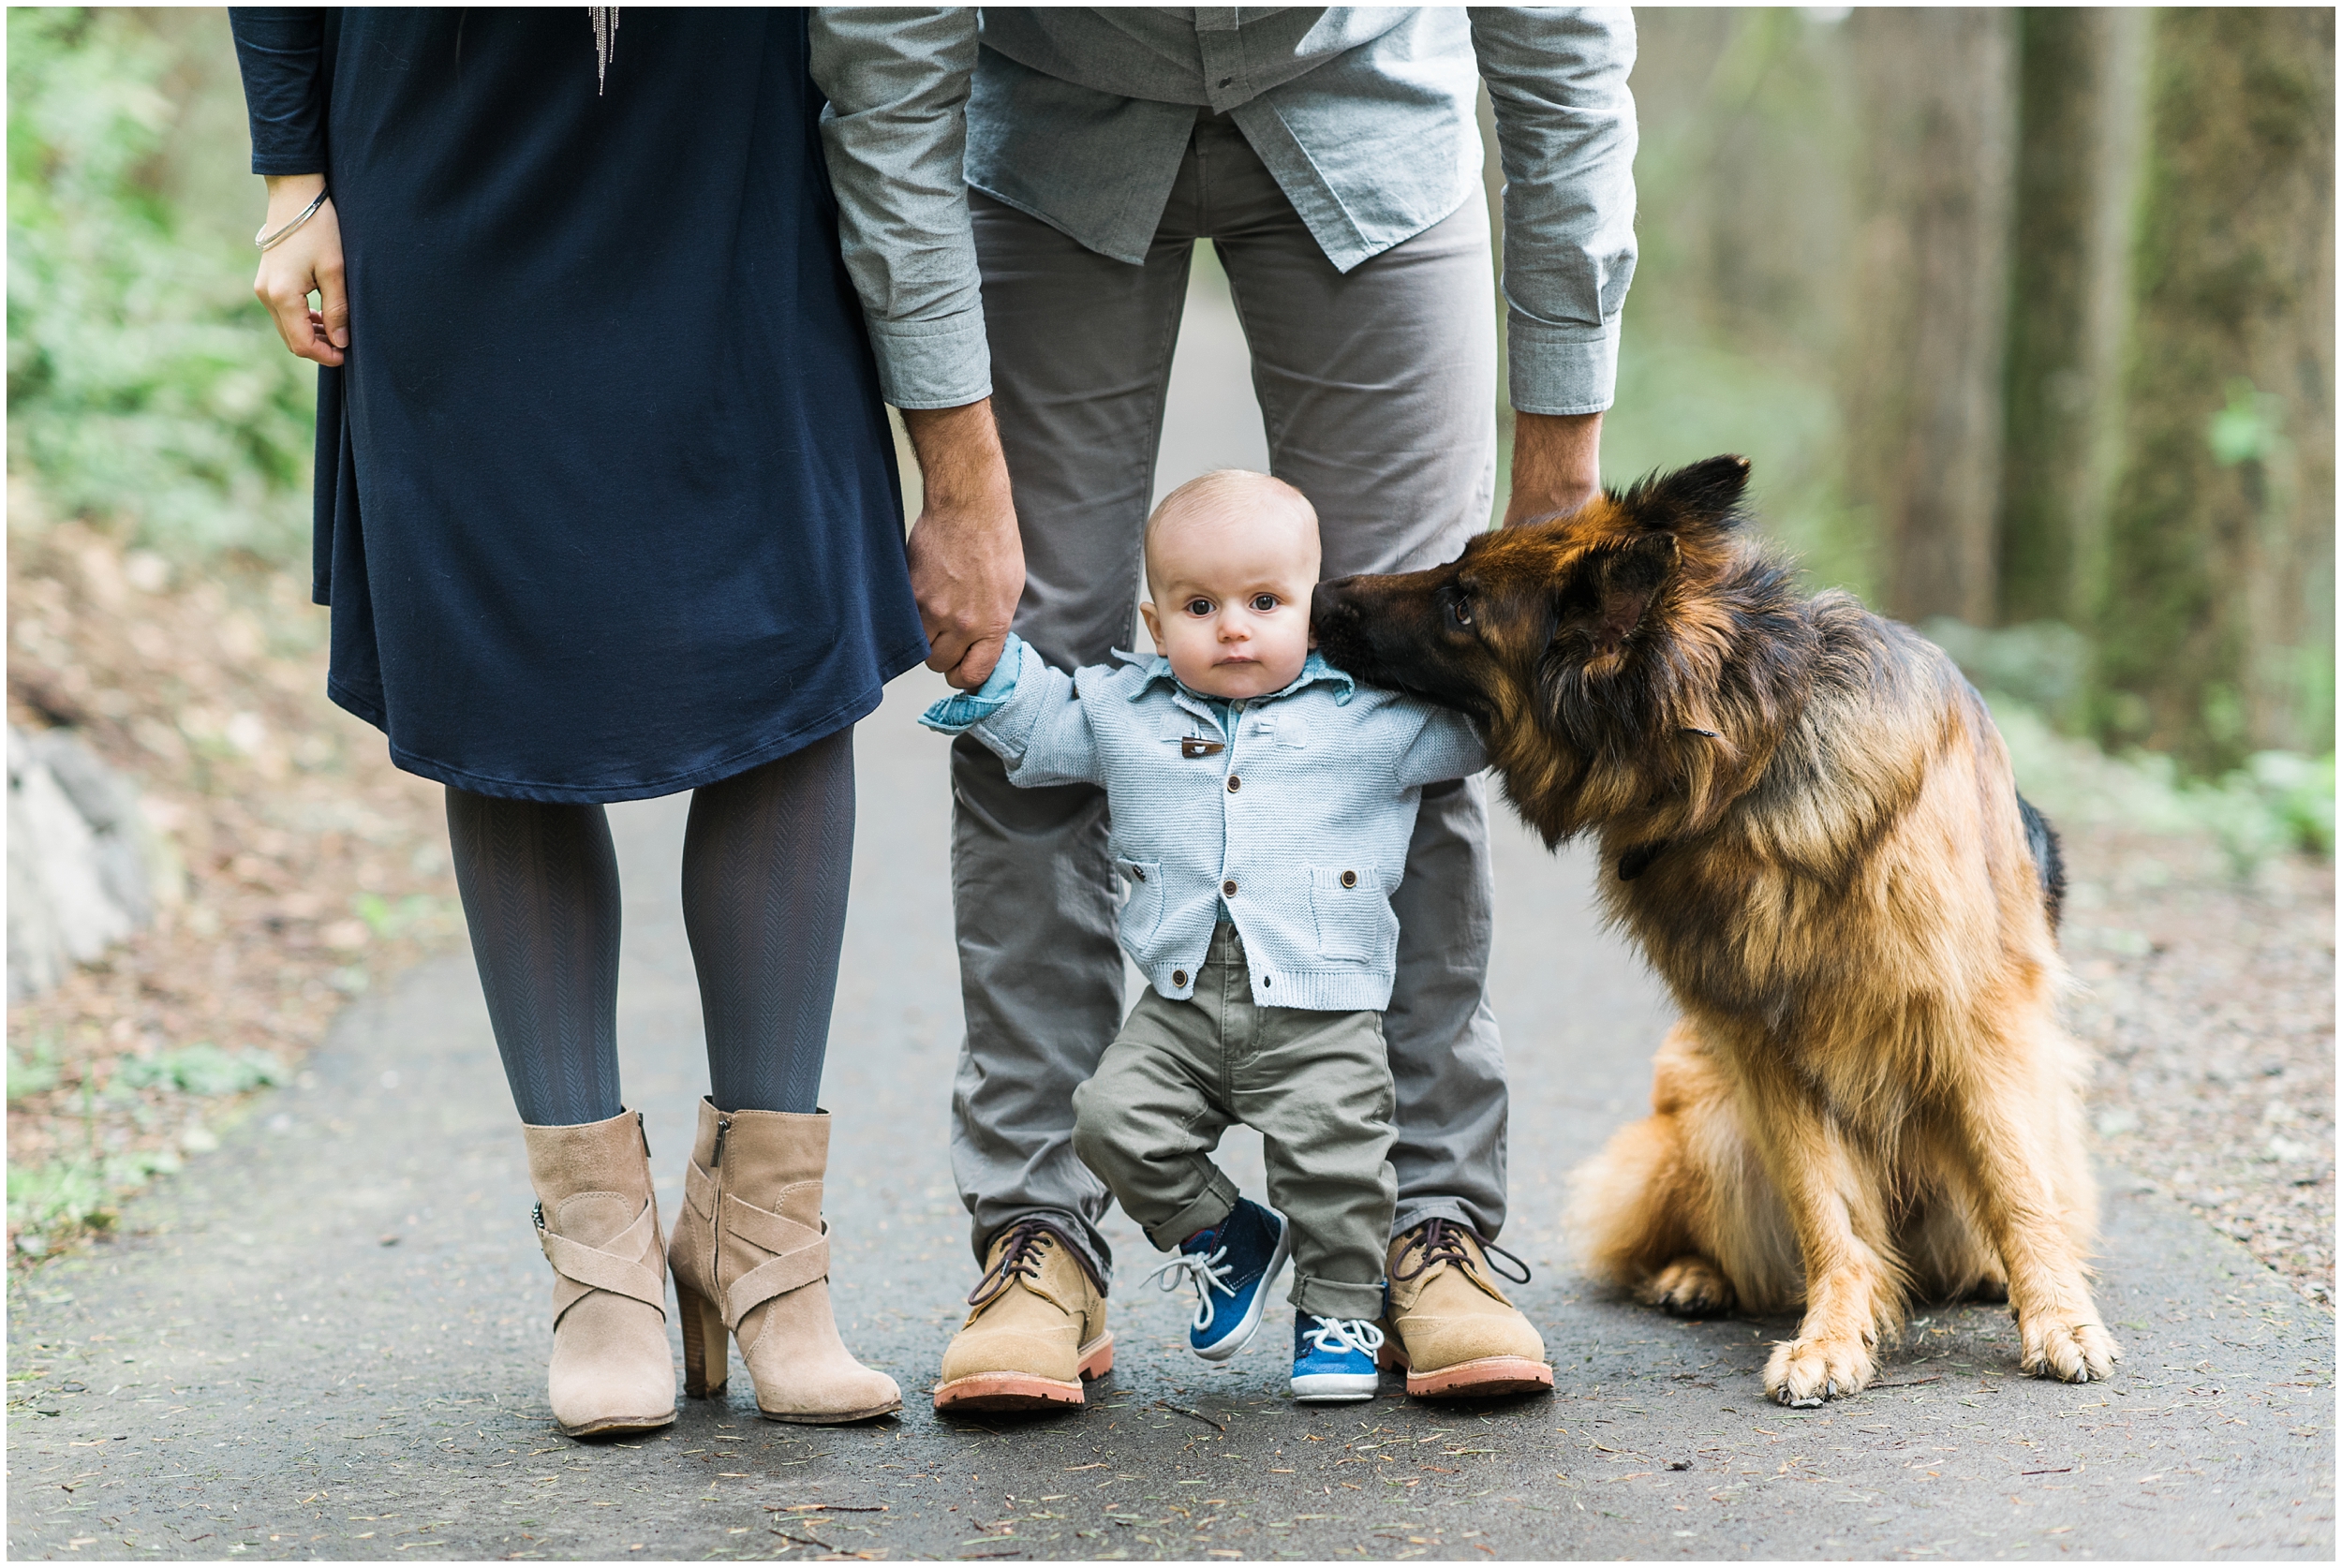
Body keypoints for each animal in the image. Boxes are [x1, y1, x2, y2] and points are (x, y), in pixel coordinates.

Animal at [1321, 458, 2127, 1413]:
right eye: (1456, 573)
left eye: (1461, 603)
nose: (1322, 592)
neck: (1748, 759)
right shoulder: (1764, 1045)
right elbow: (1827, 1212)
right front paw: (1831, 1336)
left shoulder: (1977, 1021)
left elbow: (2015, 1182)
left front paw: (2059, 1317)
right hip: (1704, 1117)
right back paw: (1694, 1275)